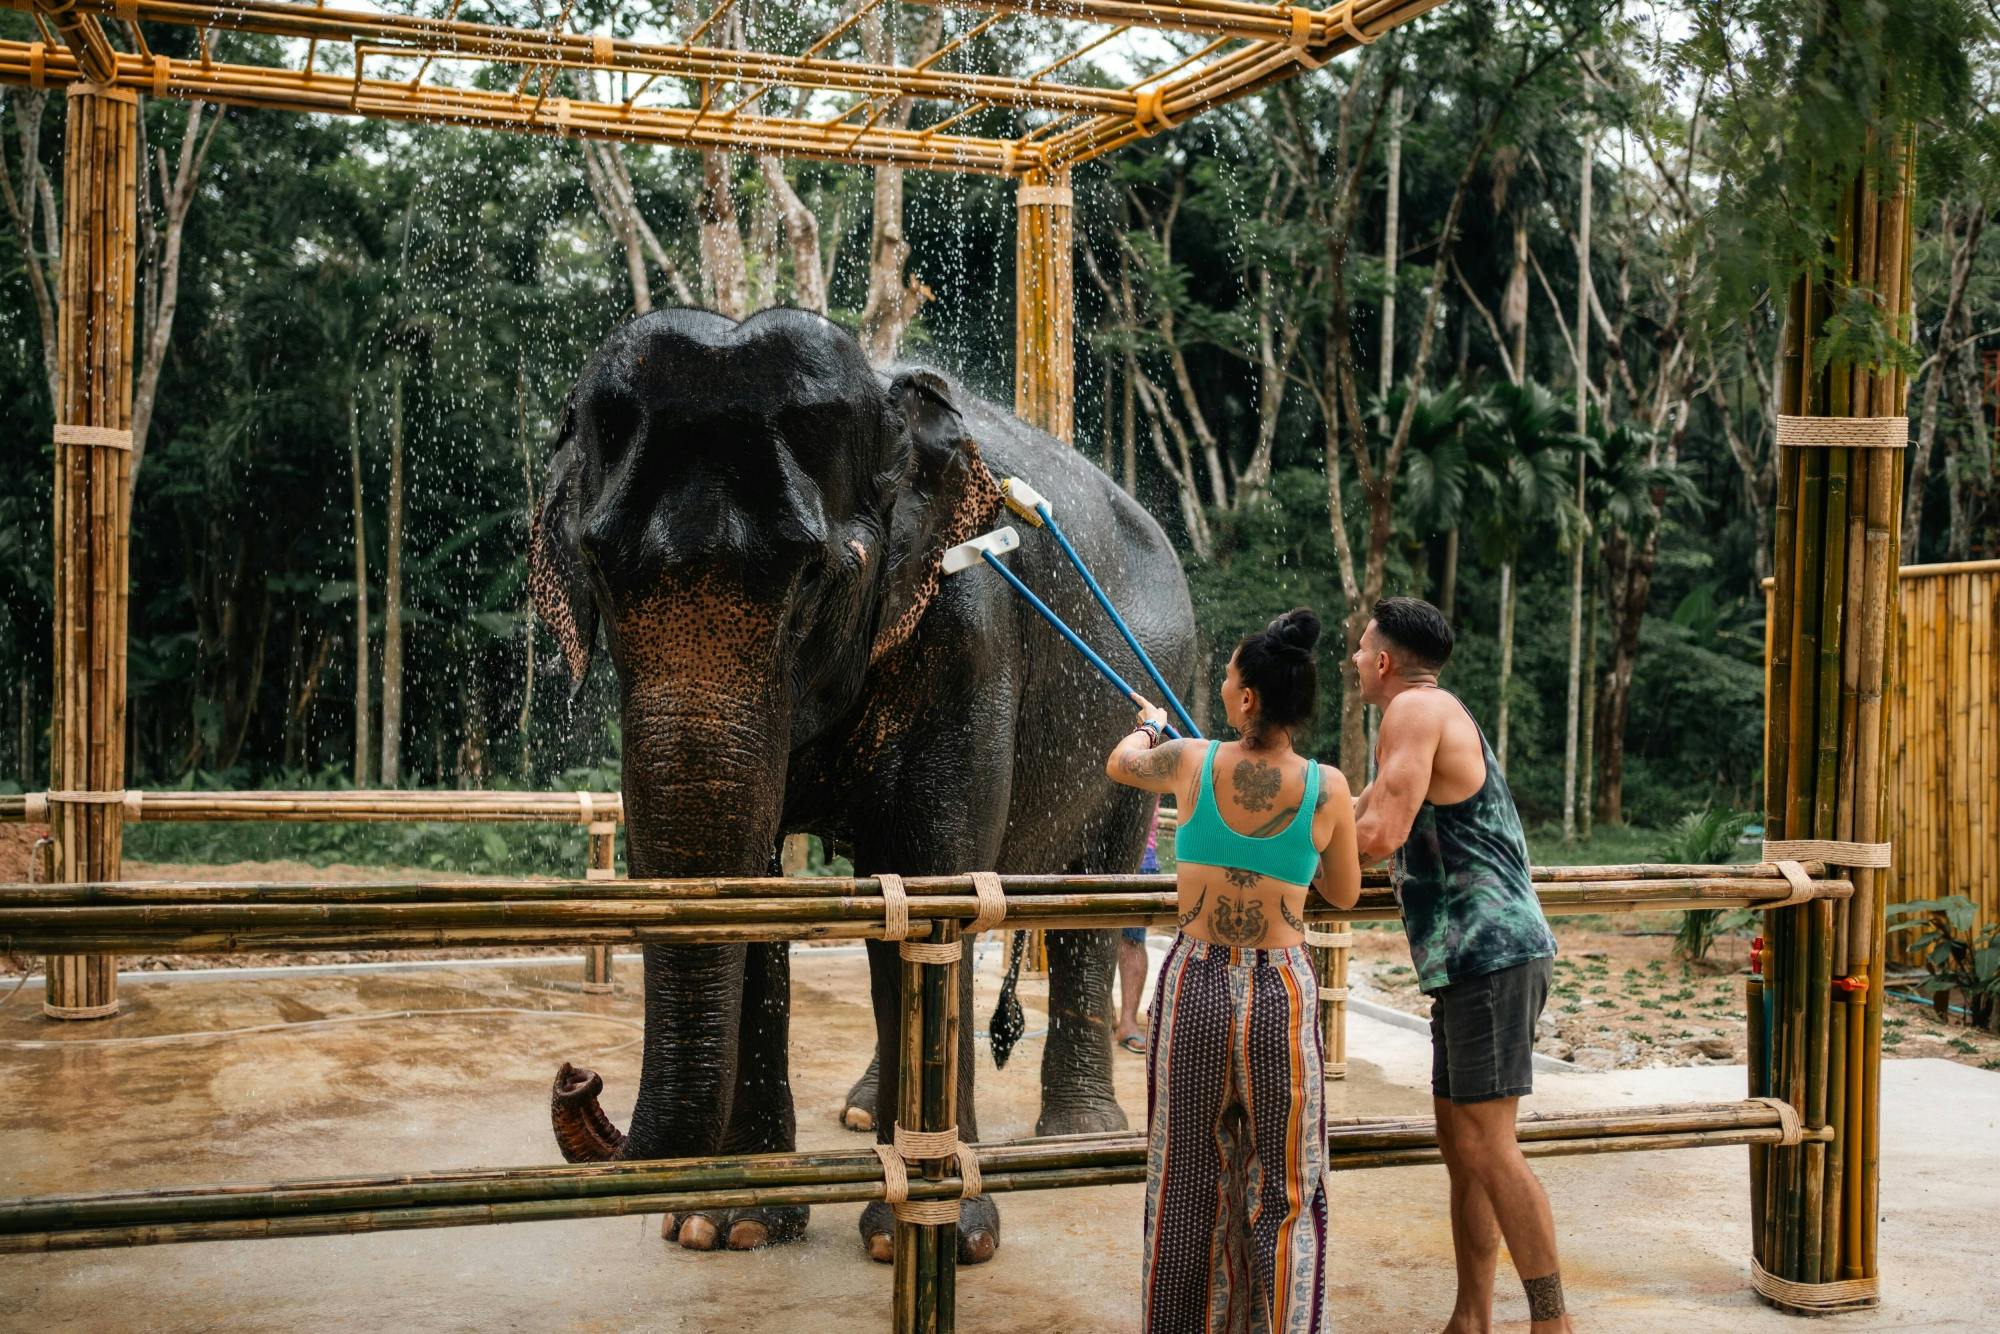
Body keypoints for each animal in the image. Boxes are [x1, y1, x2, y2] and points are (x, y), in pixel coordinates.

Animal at [532, 306, 1196, 1265]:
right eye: (598, 570)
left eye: (817, 576)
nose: (578, 1076)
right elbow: (768, 891)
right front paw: (725, 1227)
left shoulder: (967, 629)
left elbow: (934, 873)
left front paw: (943, 1237)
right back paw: (862, 1116)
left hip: (1153, 701)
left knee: (1090, 898)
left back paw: (1079, 1136)